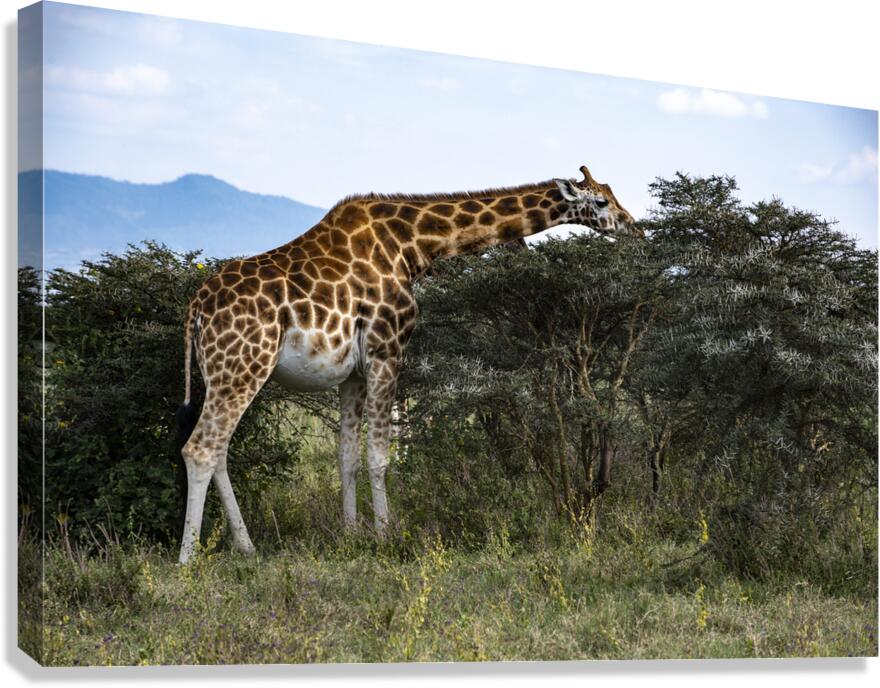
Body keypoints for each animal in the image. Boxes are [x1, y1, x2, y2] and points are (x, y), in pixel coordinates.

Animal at [176, 164, 637, 563]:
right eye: (600, 201)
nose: (633, 226)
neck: (412, 246)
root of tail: (195, 308)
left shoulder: (353, 372)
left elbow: (347, 455)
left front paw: (350, 534)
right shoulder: (388, 350)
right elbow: (382, 455)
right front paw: (386, 535)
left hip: (223, 373)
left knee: (219, 451)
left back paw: (246, 546)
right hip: (243, 366)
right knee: (200, 448)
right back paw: (188, 558)